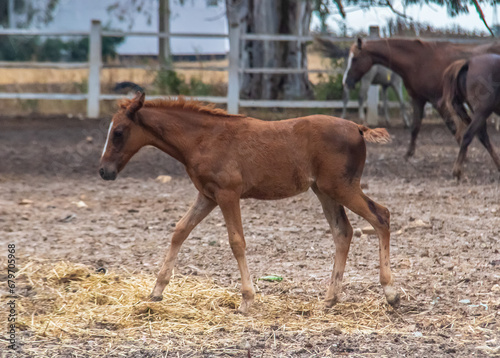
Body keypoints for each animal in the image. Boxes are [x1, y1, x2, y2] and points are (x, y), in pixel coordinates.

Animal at [99, 92, 400, 314]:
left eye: (119, 132)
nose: (104, 171)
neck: (203, 139)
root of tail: (358, 128)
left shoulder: (228, 194)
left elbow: (236, 242)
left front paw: (246, 300)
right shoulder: (207, 196)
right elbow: (180, 230)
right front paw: (157, 291)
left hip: (342, 187)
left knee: (381, 216)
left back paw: (391, 293)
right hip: (324, 191)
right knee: (343, 232)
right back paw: (330, 299)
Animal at [324, 37, 500, 158]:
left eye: (354, 59)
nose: (345, 81)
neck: (419, 61)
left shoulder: (438, 102)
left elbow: (453, 128)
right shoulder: (418, 99)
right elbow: (415, 127)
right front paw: (409, 153)